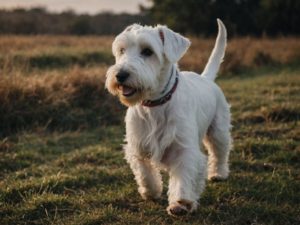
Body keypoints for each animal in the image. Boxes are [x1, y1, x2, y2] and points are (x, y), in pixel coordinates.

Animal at [105, 19, 232, 216]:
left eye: (147, 51)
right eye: (122, 50)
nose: (120, 75)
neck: (154, 104)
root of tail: (206, 78)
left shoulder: (184, 148)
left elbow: (183, 176)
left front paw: (181, 202)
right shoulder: (137, 145)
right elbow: (144, 171)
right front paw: (150, 191)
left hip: (218, 130)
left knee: (219, 152)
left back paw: (218, 174)